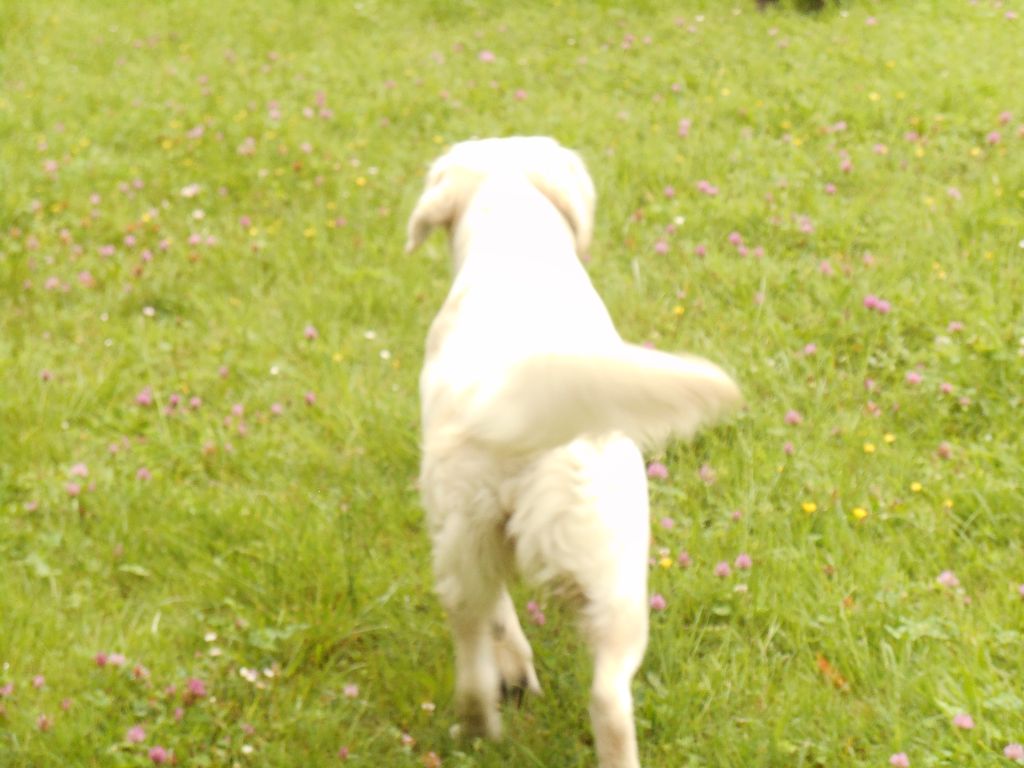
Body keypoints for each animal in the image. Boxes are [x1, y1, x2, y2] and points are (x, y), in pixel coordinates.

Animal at [407, 138, 745, 768]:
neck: (513, 234)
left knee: (485, 654)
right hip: (612, 570)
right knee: (592, 691)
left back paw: (480, 722)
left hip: (478, 542)